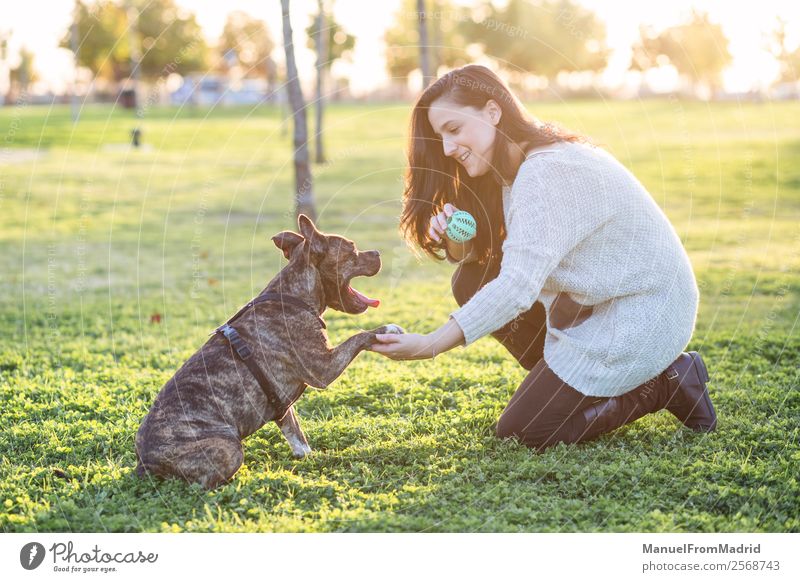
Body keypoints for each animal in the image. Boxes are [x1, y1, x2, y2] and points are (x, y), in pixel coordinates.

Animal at [135, 214, 406, 488]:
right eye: (352, 250)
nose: (377, 252)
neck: (293, 296)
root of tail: (145, 462)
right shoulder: (323, 369)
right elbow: (360, 335)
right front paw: (388, 329)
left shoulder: (282, 403)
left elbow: (295, 431)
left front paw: (306, 457)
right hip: (228, 449)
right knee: (201, 483)